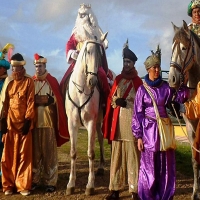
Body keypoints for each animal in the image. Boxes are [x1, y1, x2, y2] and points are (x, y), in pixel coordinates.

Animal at [65, 33, 108, 195]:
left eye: (101, 54)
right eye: (87, 52)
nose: (93, 81)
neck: (81, 90)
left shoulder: (90, 122)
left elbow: (91, 152)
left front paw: (90, 184)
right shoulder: (72, 123)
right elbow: (73, 152)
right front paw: (71, 183)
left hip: (98, 120)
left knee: (100, 139)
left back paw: (101, 167)